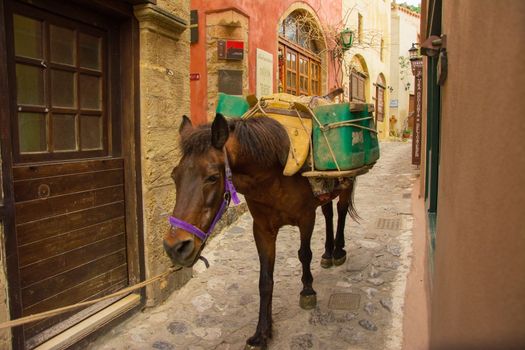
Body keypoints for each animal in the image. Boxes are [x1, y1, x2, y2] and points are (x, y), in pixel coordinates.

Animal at [164, 113, 356, 348]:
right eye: (174, 176)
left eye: (212, 177)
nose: (175, 247)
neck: (274, 176)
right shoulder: (263, 229)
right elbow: (265, 280)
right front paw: (262, 333)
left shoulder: (306, 219)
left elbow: (304, 254)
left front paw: (307, 291)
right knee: (329, 213)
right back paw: (327, 254)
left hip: (346, 184)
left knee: (341, 211)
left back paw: (337, 252)